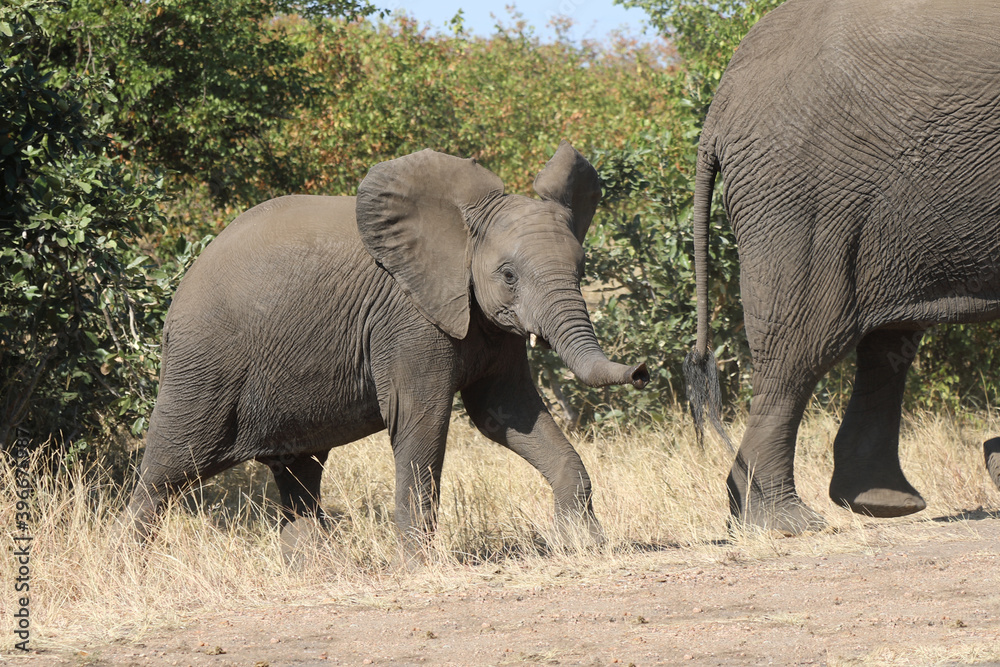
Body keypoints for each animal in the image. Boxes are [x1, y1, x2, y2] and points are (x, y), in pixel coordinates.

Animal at [126, 142, 649, 560]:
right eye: (508, 275)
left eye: (581, 269)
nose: (641, 371)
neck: (459, 229)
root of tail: (182, 281)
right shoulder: (408, 317)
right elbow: (422, 417)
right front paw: (418, 568)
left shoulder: (486, 322)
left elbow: (506, 413)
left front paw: (588, 547)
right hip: (204, 362)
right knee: (168, 469)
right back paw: (132, 570)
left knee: (299, 473)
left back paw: (322, 574)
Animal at [685, 0, 1000, 535]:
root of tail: (719, 109)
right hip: (803, 198)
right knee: (800, 348)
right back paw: (786, 522)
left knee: (887, 341)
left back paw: (883, 503)